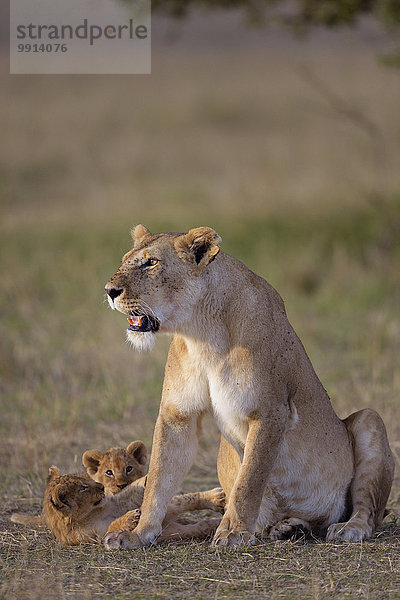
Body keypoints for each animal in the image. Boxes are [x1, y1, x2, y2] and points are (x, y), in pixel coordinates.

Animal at [104, 225, 394, 548]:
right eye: (125, 260)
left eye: (151, 263)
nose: (109, 291)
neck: (201, 331)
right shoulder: (177, 416)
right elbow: (157, 479)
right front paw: (137, 533)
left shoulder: (270, 411)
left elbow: (249, 480)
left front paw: (233, 532)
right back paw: (288, 527)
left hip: (369, 419)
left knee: (367, 511)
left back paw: (348, 528)